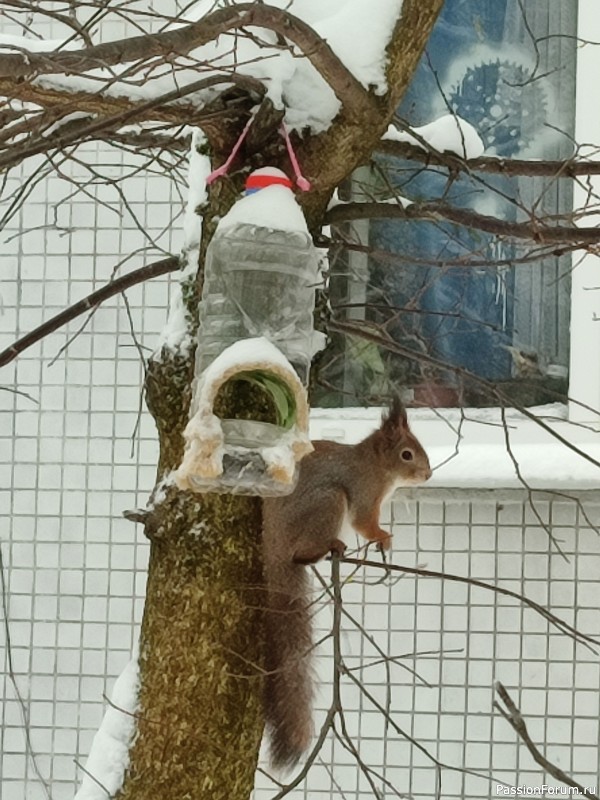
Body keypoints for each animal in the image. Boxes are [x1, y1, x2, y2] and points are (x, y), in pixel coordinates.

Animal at [262, 398, 432, 768]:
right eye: (407, 454)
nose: (428, 475)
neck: (373, 464)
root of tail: (274, 547)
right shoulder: (363, 492)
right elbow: (364, 523)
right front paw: (384, 537)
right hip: (328, 501)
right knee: (303, 550)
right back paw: (327, 548)